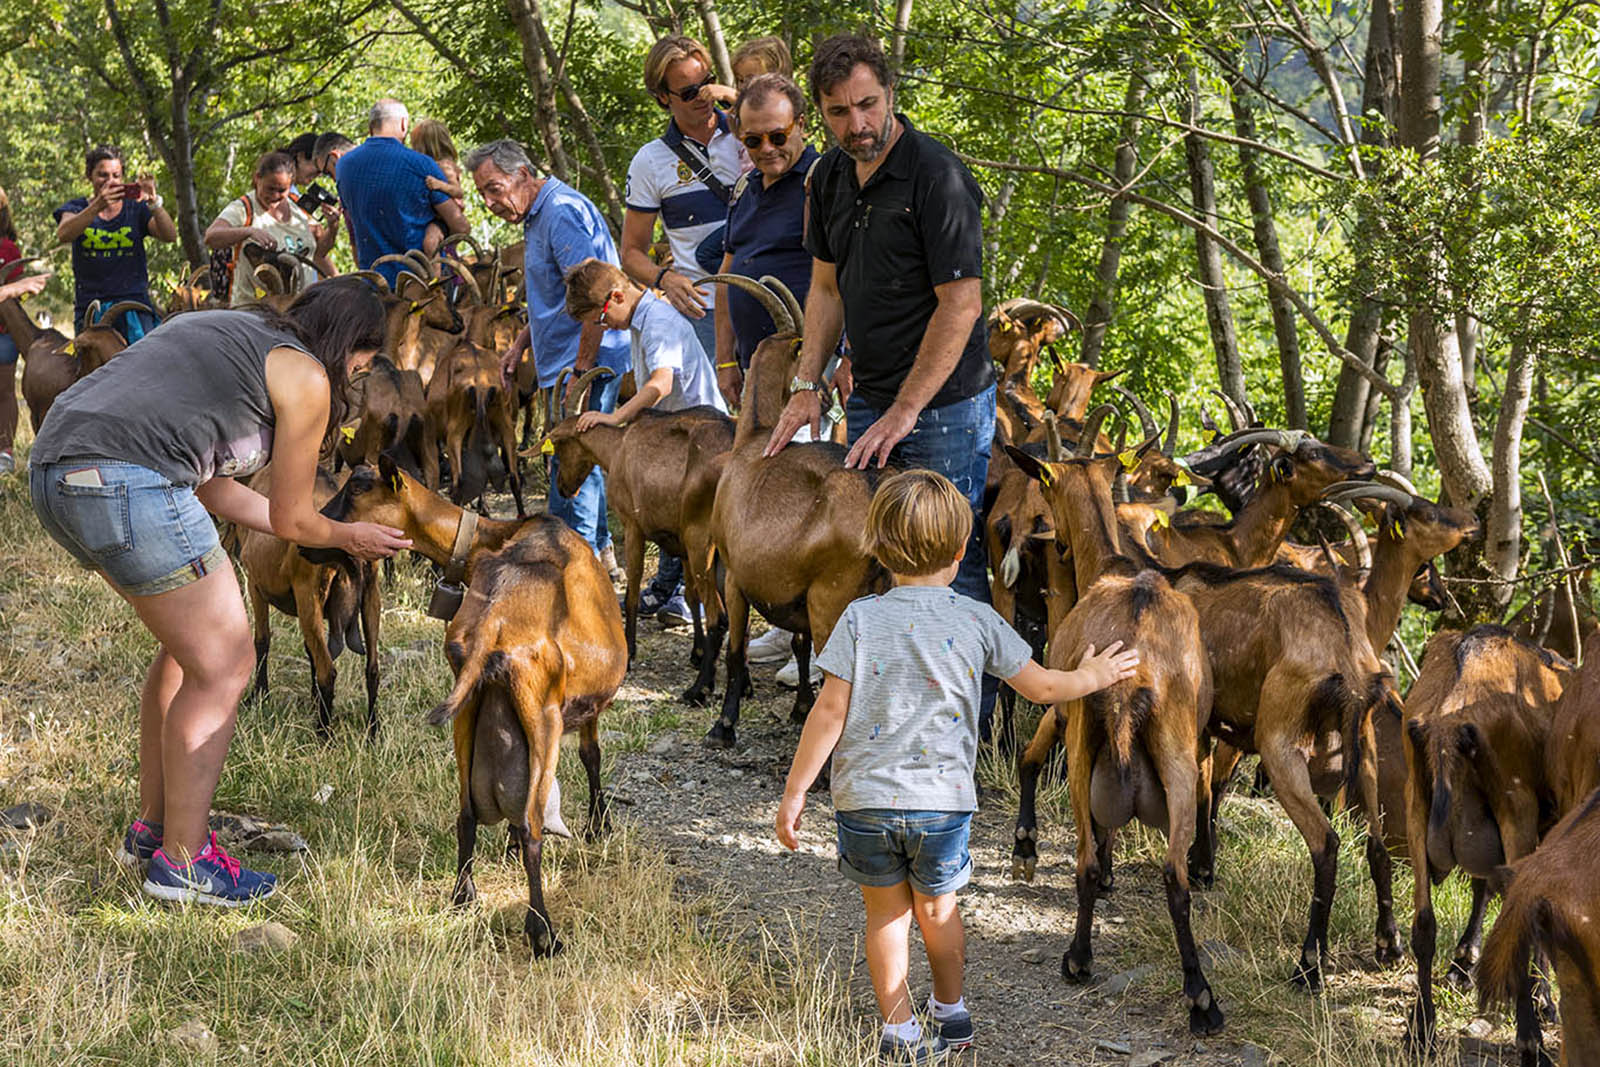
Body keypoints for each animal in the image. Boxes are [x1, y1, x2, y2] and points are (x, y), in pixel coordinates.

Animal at [233, 467, 380, 742]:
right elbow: (309, 648)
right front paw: (313, 700)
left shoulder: (255, 584)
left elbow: (262, 640)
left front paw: (258, 697)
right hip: (370, 594)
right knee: (373, 668)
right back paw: (373, 732)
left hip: (307, 591)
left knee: (328, 671)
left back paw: (324, 735)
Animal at [302, 454, 627, 953]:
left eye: (356, 490)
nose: (304, 542)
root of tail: (494, 626)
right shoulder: (587, 705)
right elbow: (592, 755)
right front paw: (599, 826)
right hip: (542, 717)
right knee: (532, 825)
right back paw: (542, 932)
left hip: (467, 710)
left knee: (466, 812)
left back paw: (462, 896)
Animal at [1408, 630, 1568, 1055]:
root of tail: (1447, 722)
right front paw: (1545, 1004)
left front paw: (1464, 964)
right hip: (1517, 811)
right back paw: (1530, 1040)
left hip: (1416, 809)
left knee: (1424, 924)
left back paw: (1422, 1030)